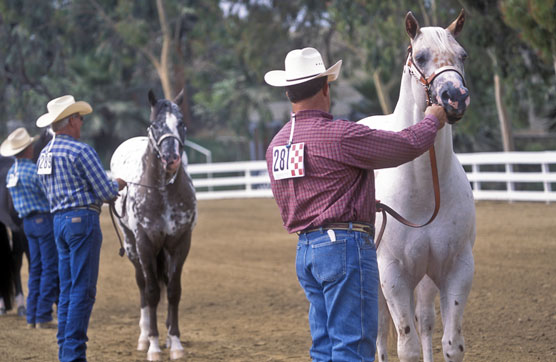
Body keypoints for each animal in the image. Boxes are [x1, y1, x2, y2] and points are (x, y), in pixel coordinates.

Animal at [109, 90, 197, 362]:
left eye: (182, 124)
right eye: (156, 125)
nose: (171, 159)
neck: (163, 191)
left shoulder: (180, 243)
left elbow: (173, 291)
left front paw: (175, 343)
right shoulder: (146, 244)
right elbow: (151, 293)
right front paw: (153, 346)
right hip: (131, 246)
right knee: (142, 286)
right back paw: (143, 336)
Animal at [358, 9, 476, 360]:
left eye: (463, 55)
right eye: (421, 57)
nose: (455, 97)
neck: (425, 191)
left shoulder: (456, 270)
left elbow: (451, 344)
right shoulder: (393, 276)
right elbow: (404, 347)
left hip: (424, 279)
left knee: (423, 321)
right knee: (381, 334)